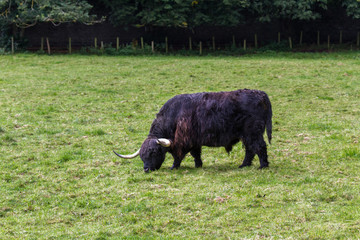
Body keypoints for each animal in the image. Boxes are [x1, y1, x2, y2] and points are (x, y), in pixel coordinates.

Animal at [114, 89, 272, 172]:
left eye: (153, 152)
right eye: (142, 155)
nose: (146, 169)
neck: (173, 115)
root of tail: (260, 93)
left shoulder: (183, 140)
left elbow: (178, 155)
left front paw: (174, 167)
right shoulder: (194, 140)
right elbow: (196, 154)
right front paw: (198, 165)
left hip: (253, 132)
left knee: (259, 147)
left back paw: (263, 166)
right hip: (246, 135)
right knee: (250, 149)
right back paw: (244, 165)